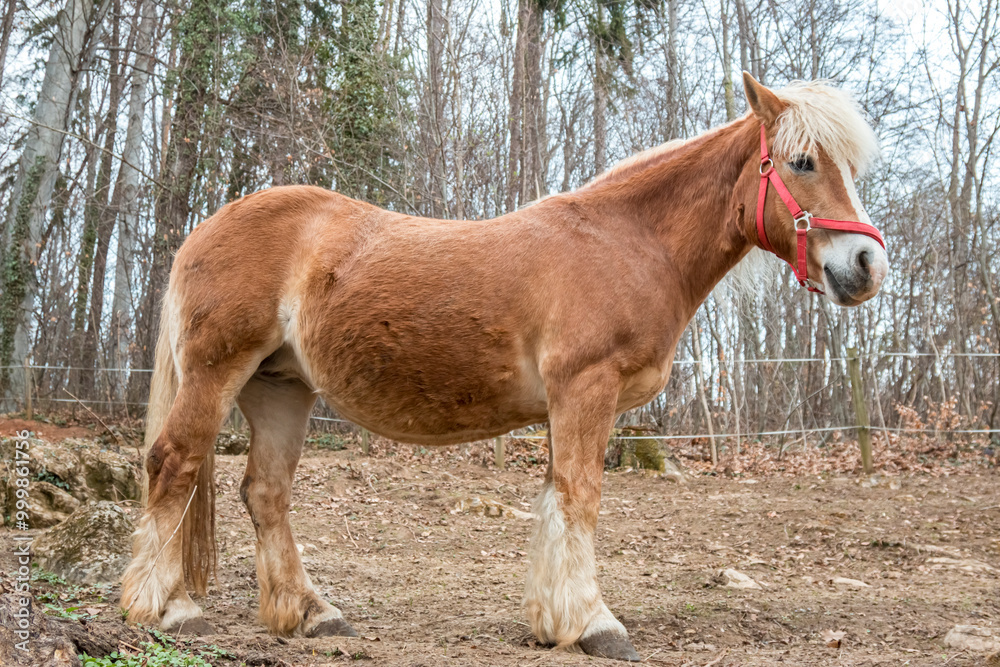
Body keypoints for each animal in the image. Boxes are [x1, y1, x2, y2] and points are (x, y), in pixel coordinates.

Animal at [120, 73, 888, 661]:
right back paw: (170, 607)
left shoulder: (567, 405)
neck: (629, 242)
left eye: (849, 167)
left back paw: (313, 613)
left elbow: (554, 499)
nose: (865, 265)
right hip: (216, 374)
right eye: (802, 162)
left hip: (280, 388)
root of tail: (206, 229)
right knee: (173, 465)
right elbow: (580, 499)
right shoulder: (586, 390)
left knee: (266, 493)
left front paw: (553, 623)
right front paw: (596, 623)